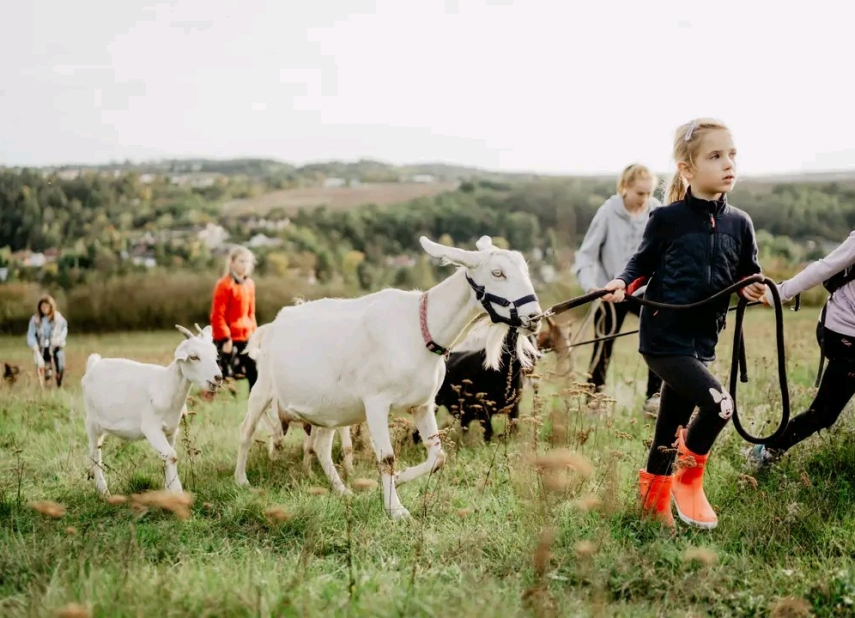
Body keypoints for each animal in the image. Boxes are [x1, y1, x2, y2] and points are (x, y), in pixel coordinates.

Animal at [83, 324, 224, 494]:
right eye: (194, 357)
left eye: (215, 355)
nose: (218, 378)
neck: (166, 385)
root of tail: (94, 363)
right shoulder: (151, 427)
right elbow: (171, 455)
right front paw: (177, 492)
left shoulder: (171, 430)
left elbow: (166, 457)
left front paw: (168, 490)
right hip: (91, 422)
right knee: (94, 454)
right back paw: (103, 491)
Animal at [234, 235, 540, 516]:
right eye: (497, 273)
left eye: (525, 269)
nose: (534, 316)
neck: (419, 330)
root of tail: (274, 324)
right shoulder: (376, 403)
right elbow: (387, 458)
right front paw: (395, 509)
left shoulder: (423, 404)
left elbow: (438, 456)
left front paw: (401, 480)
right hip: (263, 388)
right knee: (246, 431)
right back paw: (241, 481)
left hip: (327, 409)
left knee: (321, 447)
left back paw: (343, 491)